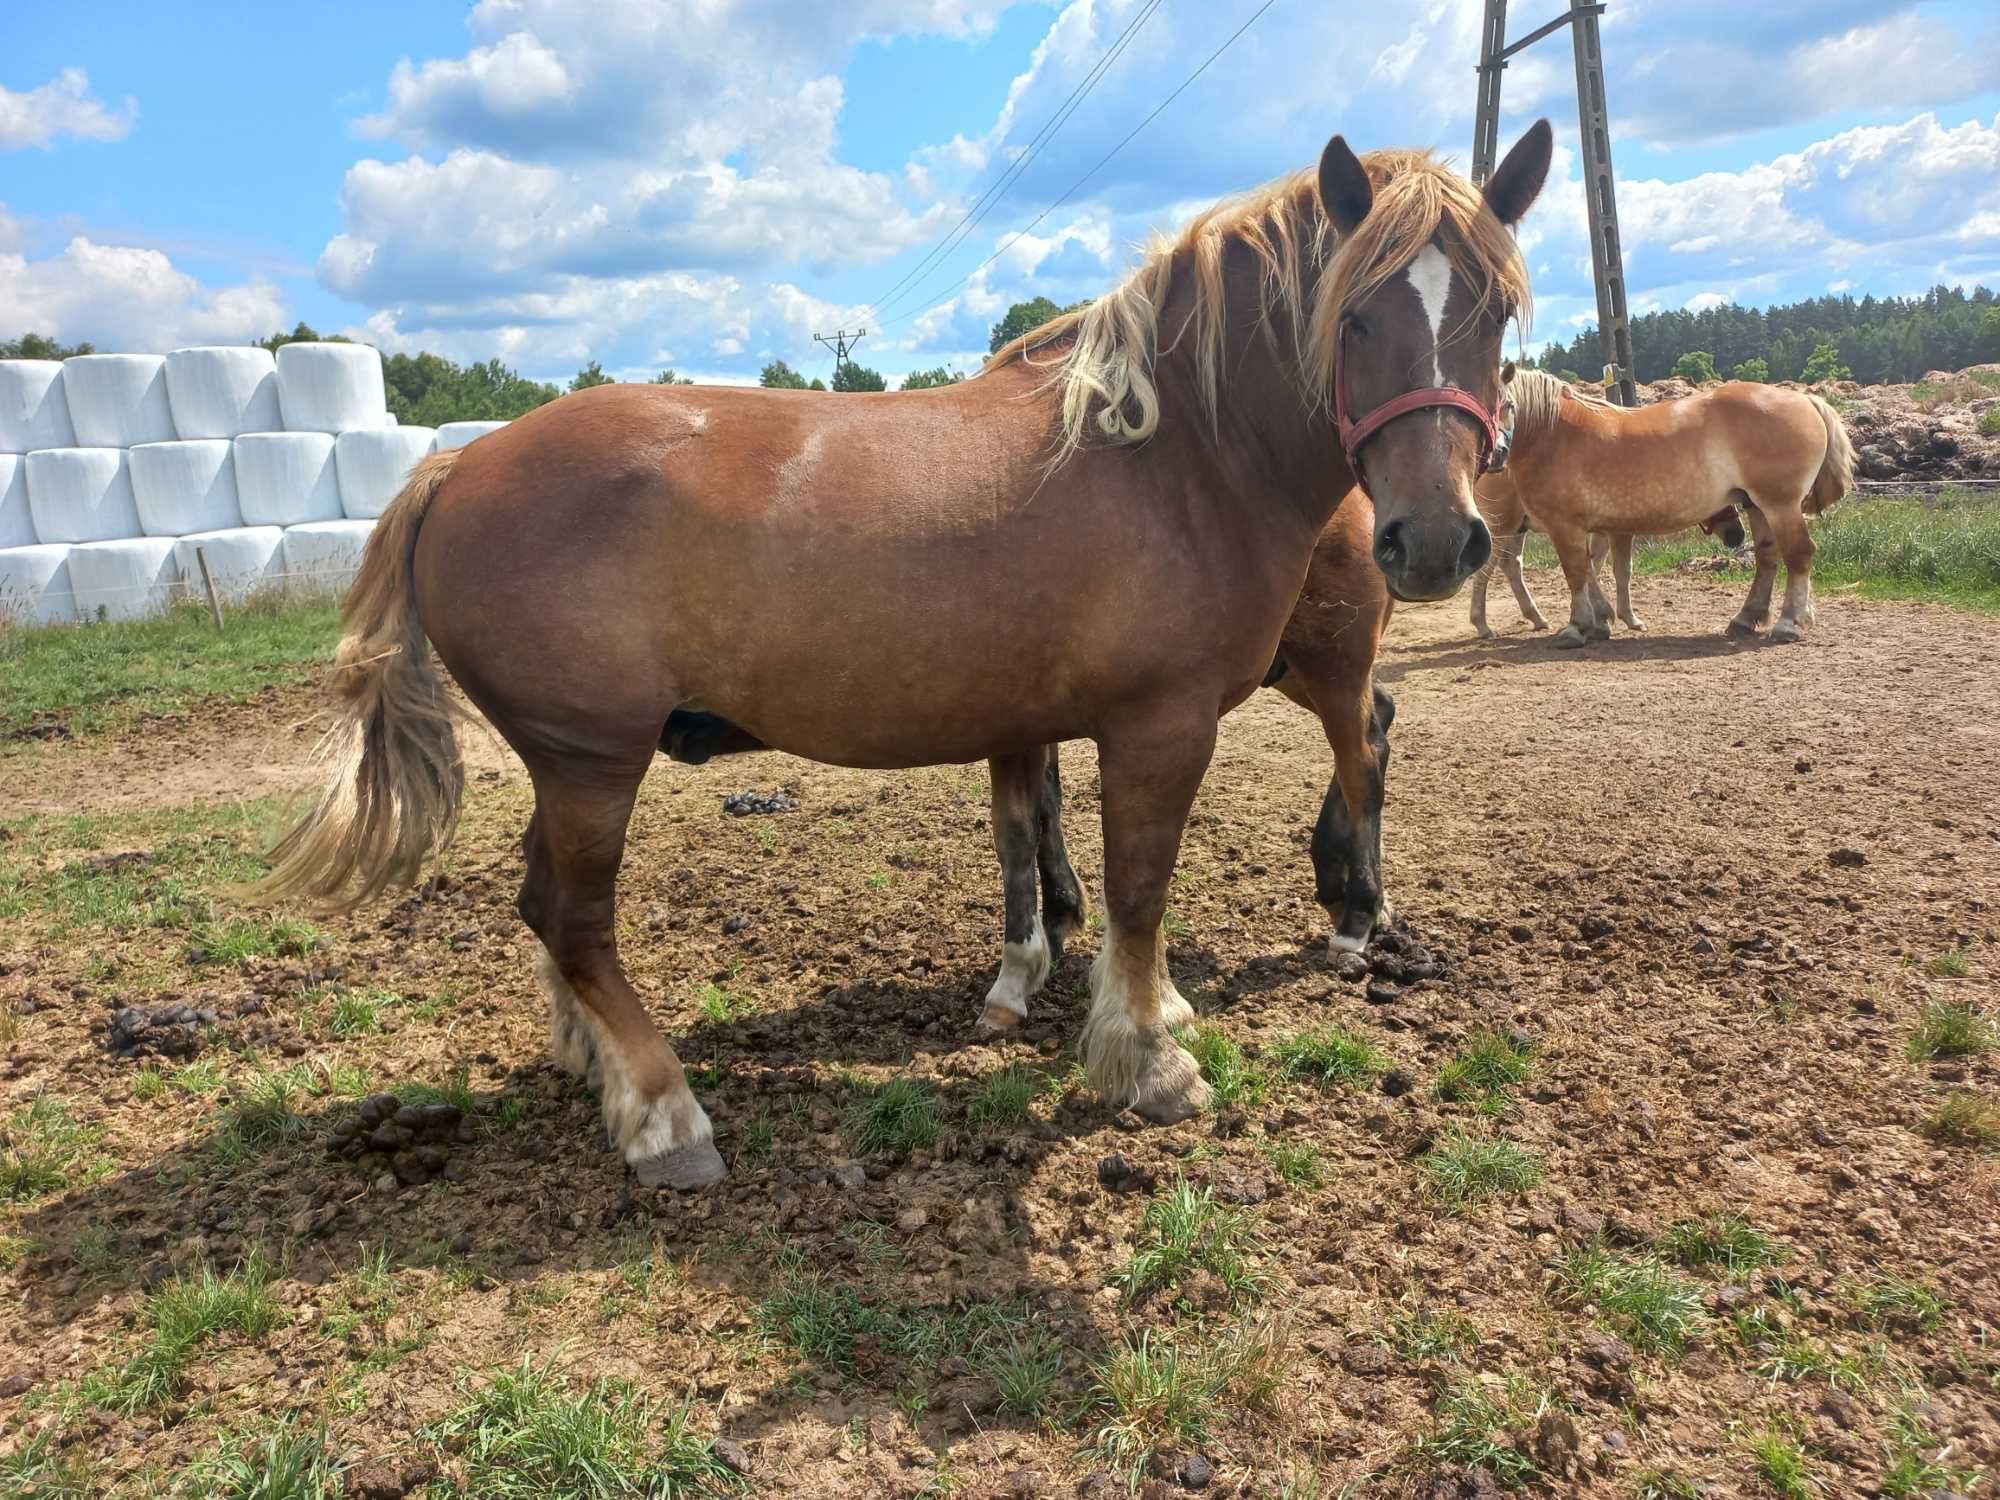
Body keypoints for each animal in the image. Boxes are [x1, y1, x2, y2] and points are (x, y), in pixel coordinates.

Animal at [258, 123, 1552, 1192]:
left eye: (1492, 315)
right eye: (1353, 314)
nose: (1433, 538)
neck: (1174, 453)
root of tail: (453, 466)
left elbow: (1070, 873)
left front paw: (1116, 1011)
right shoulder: (1159, 726)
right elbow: (1135, 891)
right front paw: (1145, 1061)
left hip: (566, 760)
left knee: (546, 911)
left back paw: (596, 1065)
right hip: (591, 759)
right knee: (572, 918)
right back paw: (665, 1114)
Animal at [1488, 370, 1856, 648]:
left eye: (1507, 404)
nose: (1495, 454)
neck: (1551, 433)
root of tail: (1805, 399)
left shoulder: (1565, 526)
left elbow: (1576, 572)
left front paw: (1577, 627)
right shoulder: (1590, 527)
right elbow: (1591, 569)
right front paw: (1600, 621)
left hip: (1780, 504)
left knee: (1799, 554)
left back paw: (1788, 622)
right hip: (1757, 506)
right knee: (1768, 557)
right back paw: (1745, 618)